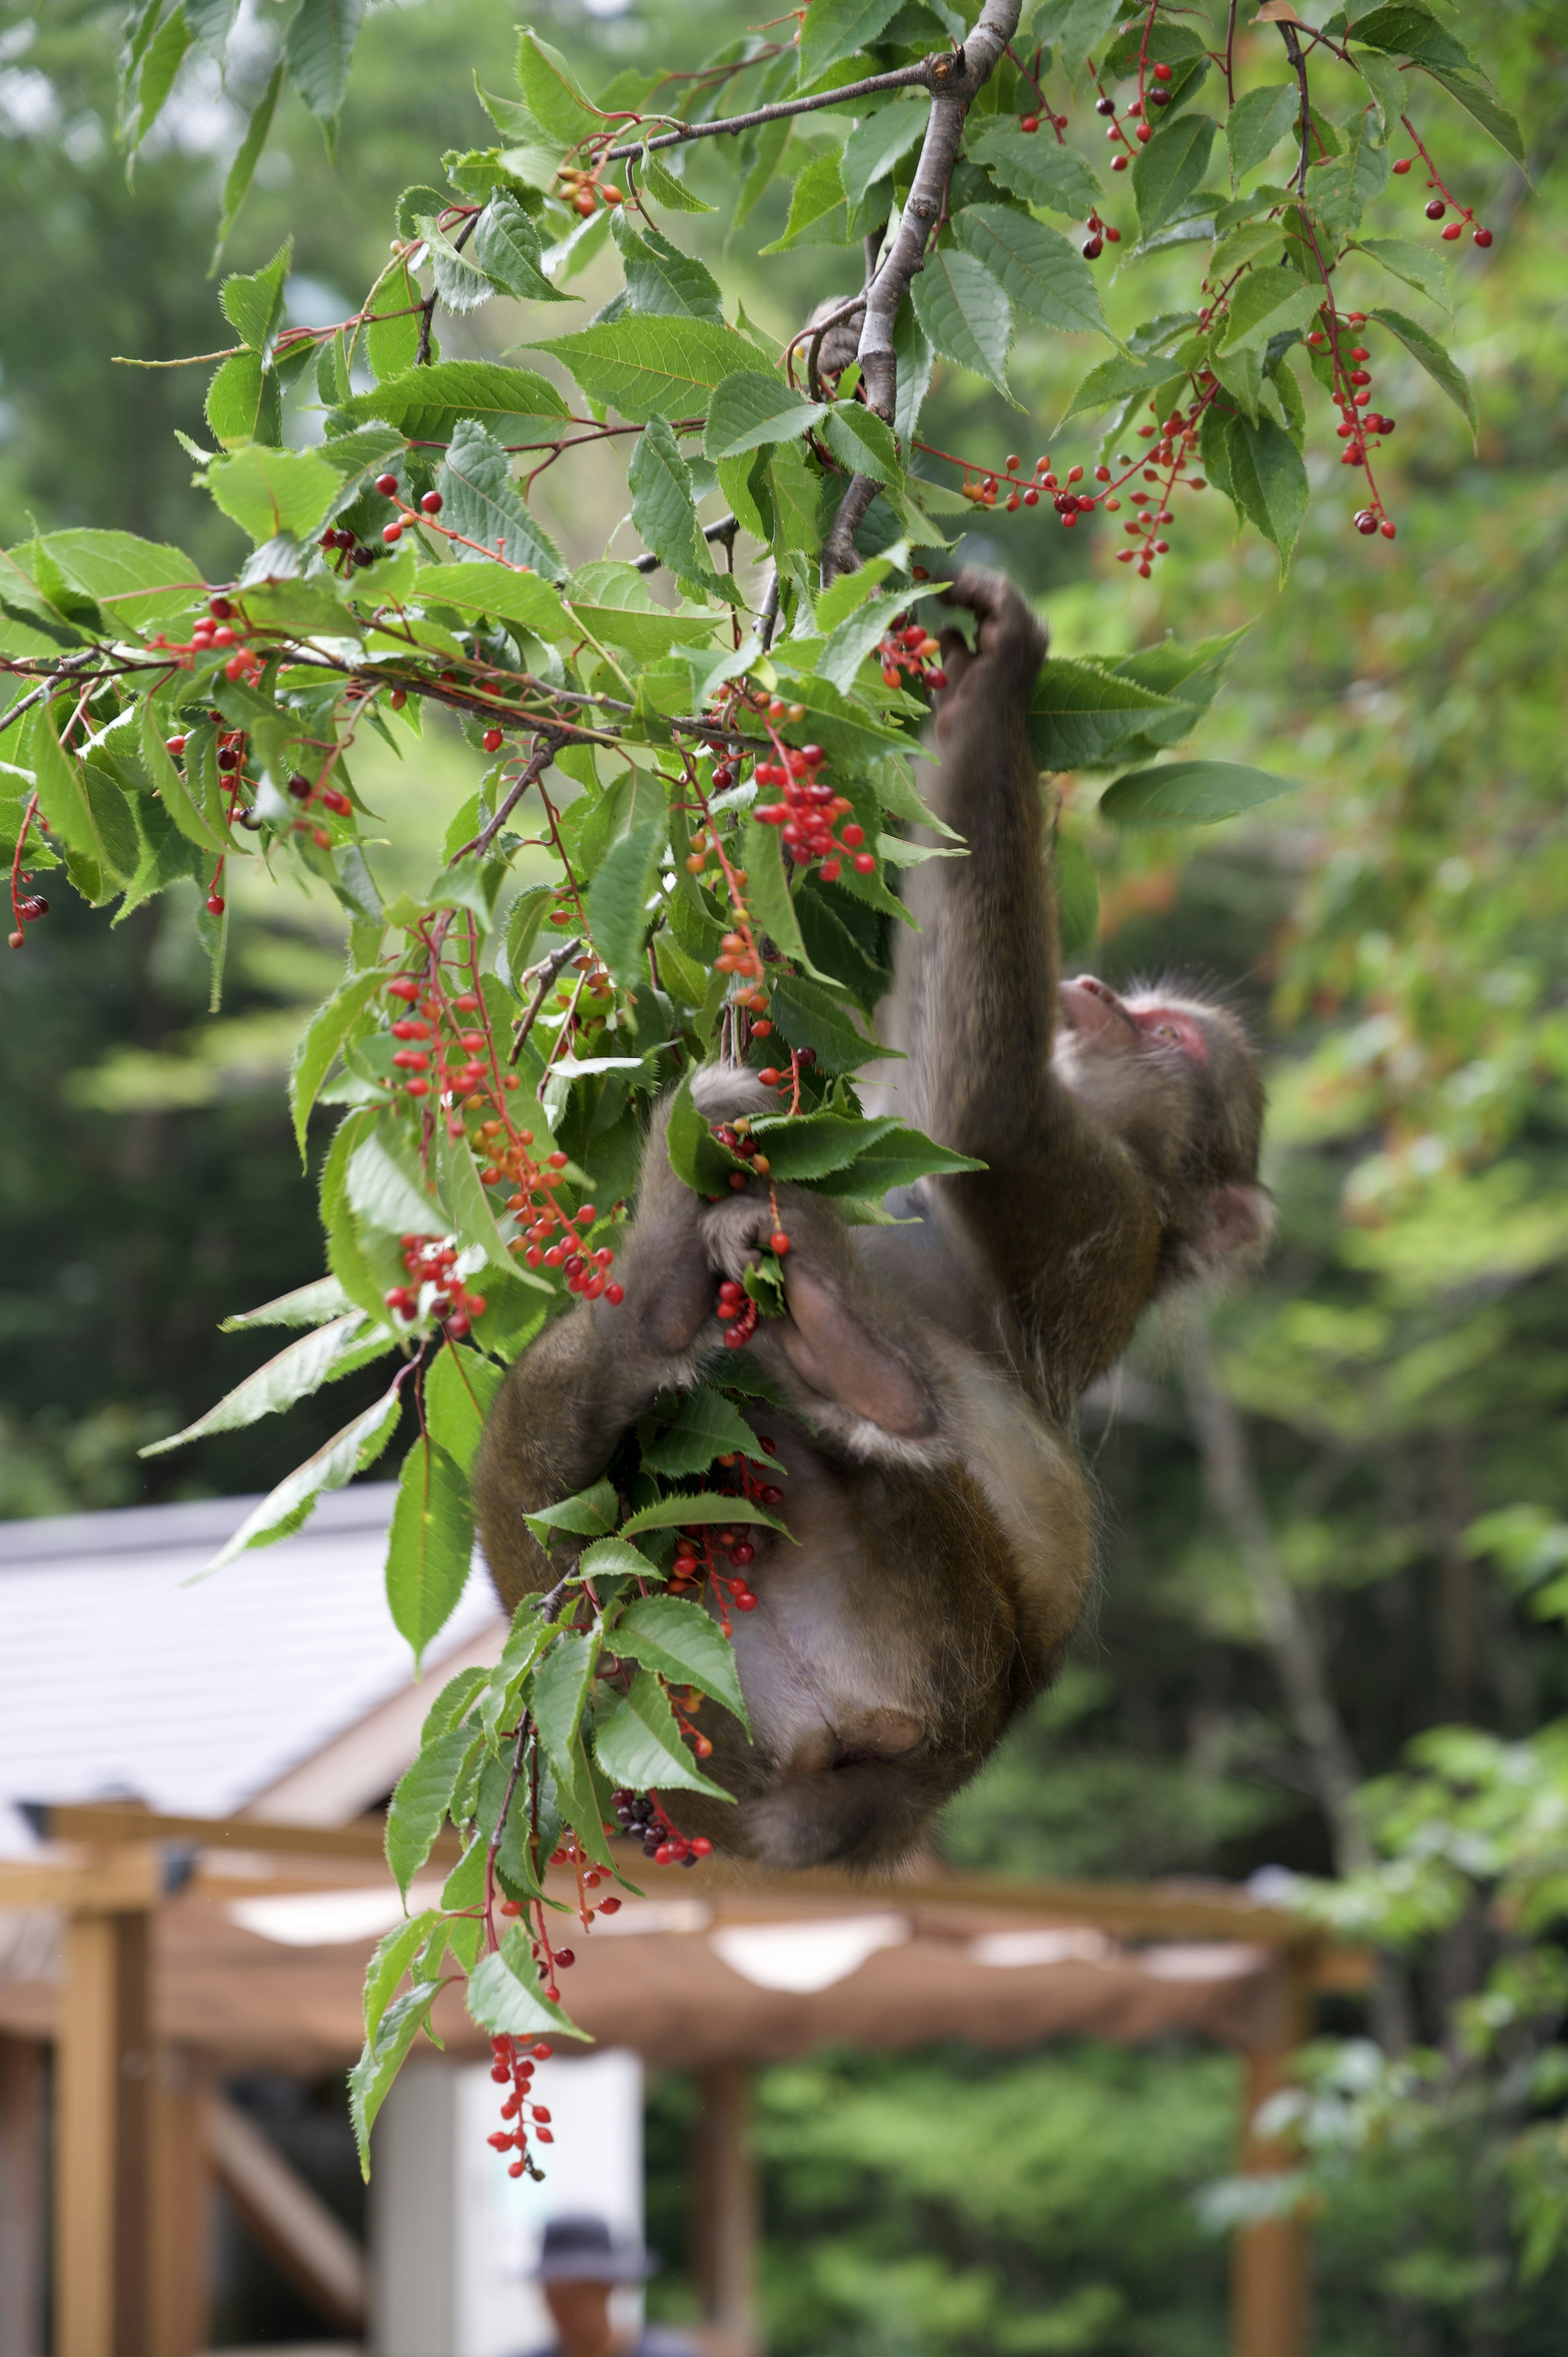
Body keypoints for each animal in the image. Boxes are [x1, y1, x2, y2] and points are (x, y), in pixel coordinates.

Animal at [471, 566, 1264, 1857]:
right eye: (1141, 1008)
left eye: (1172, 1037)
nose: (1096, 993)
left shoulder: (1095, 1205)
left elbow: (991, 1105)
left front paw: (995, 689)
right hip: (656, 1680)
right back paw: (666, 1304)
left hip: (922, 1633)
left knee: (888, 1441)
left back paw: (826, 1351)